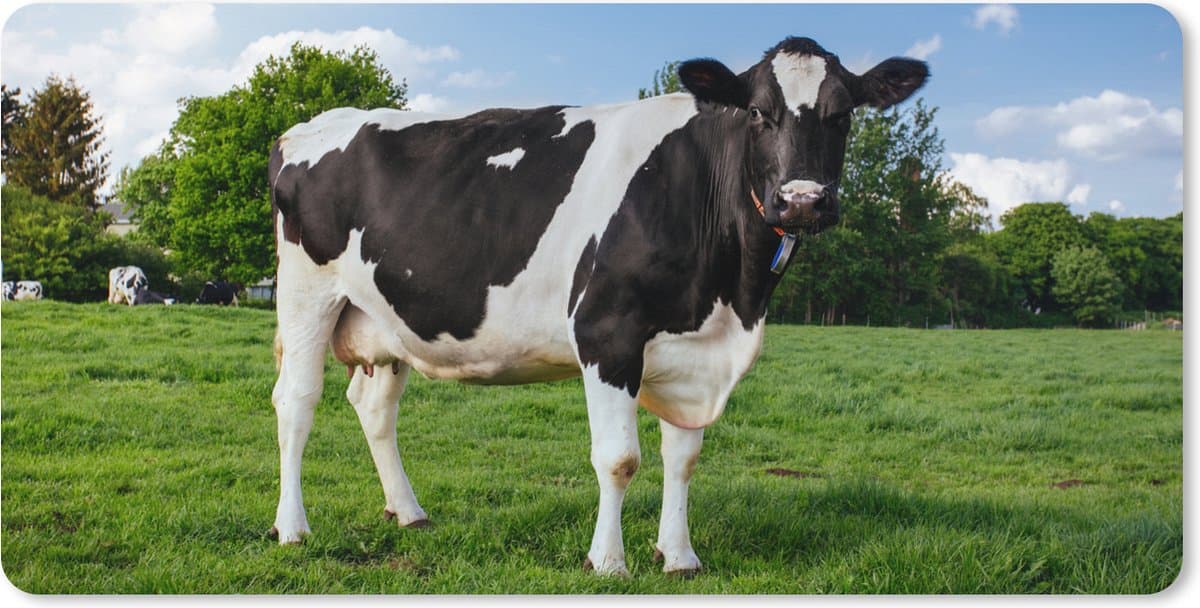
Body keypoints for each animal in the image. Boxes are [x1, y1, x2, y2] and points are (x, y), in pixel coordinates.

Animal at [267, 37, 927, 575]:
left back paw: (408, 511)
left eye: (843, 114)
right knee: (297, 400)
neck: (731, 299)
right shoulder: (607, 332)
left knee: (374, 407)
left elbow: (683, 457)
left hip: (387, 319)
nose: (803, 201)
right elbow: (619, 459)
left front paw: (679, 556)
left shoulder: (691, 349)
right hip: (306, 293)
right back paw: (293, 527)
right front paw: (608, 562)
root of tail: (310, 126)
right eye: (759, 112)